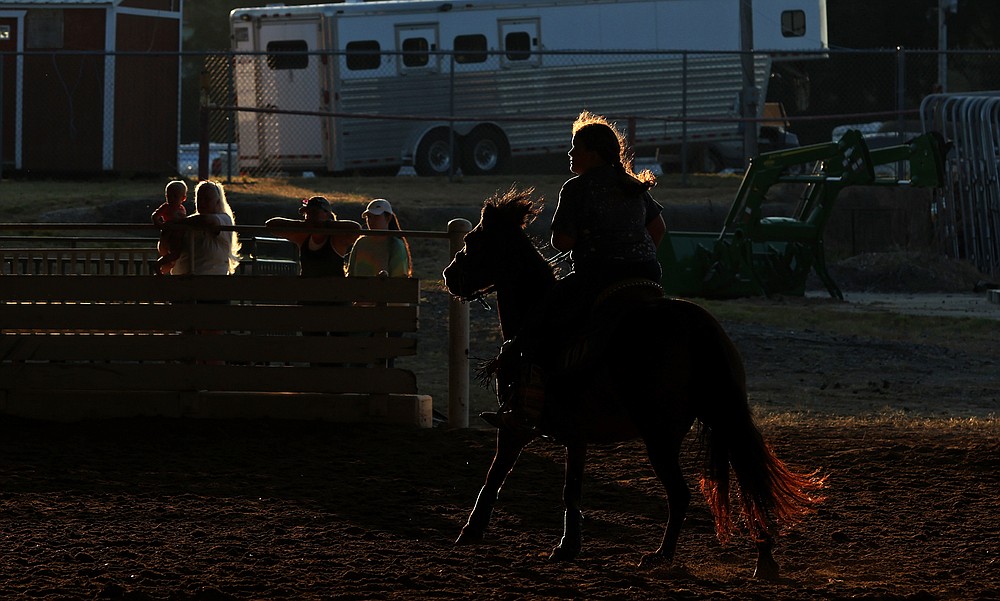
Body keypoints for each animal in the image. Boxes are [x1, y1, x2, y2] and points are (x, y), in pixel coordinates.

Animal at [442, 187, 825, 579]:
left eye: (472, 240)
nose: (449, 274)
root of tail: (695, 323)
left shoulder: (516, 425)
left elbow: (497, 474)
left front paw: (470, 531)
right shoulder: (576, 434)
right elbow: (571, 488)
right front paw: (568, 545)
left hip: (659, 434)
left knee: (682, 492)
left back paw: (662, 554)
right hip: (722, 418)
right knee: (749, 479)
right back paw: (764, 559)